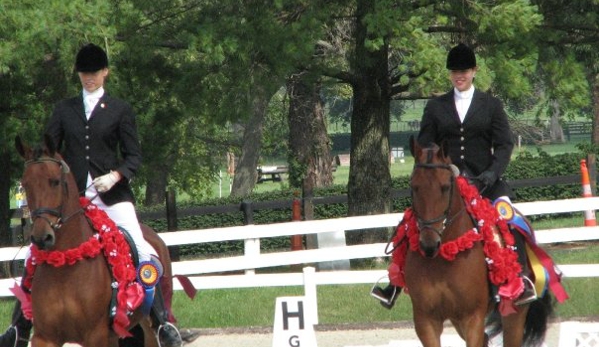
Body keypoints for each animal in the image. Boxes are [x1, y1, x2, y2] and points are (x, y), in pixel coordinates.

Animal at [15, 137, 184, 347]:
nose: (41, 238)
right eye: (25, 184)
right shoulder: (45, 338)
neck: (65, 263)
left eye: (55, 182)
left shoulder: (96, 336)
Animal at [392, 138, 564, 347]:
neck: (445, 257)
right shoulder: (425, 320)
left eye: (445, 187)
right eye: (414, 186)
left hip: (514, 312)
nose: (429, 246)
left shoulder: (472, 317)